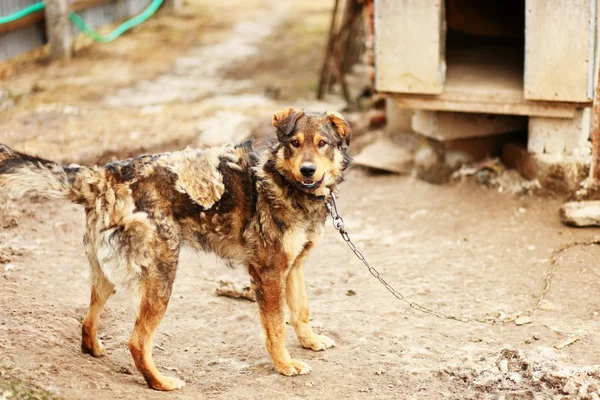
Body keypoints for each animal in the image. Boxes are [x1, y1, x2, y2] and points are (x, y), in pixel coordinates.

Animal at [0, 108, 352, 392]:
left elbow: (301, 311)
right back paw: (160, 383)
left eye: (322, 143)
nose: (308, 170)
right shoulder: (268, 272)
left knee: (87, 322)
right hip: (162, 281)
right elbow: (277, 326)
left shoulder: (294, 267)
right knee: (136, 342)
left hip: (108, 279)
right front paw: (285, 365)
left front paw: (310, 342)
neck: (284, 183)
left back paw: (95, 349)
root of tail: (107, 175)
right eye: (295, 143)